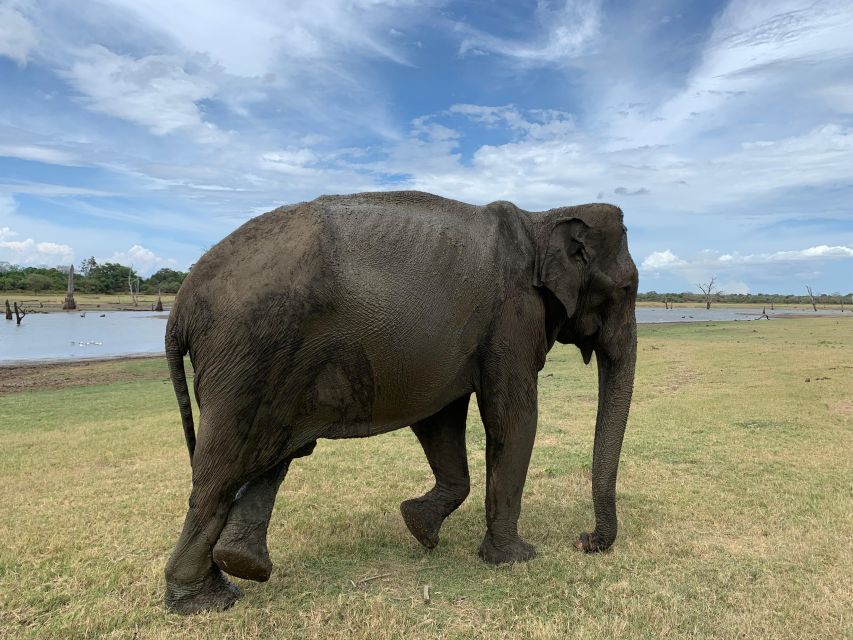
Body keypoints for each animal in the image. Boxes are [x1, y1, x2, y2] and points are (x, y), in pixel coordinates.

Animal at [163, 190, 636, 616]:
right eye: (628, 288)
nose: (584, 541)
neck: (544, 217)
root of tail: (178, 308)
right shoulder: (512, 319)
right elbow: (514, 418)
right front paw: (514, 559)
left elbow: (441, 419)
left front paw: (420, 528)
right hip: (250, 355)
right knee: (223, 472)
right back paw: (206, 601)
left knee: (274, 453)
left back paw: (236, 570)